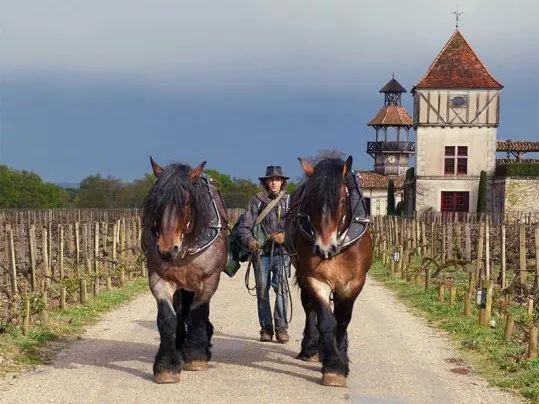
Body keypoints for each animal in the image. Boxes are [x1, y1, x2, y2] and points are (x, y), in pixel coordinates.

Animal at [141, 159, 228, 386]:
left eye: (187, 202)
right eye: (156, 201)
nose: (166, 249)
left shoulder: (209, 279)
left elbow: (198, 312)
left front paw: (196, 355)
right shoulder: (159, 278)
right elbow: (167, 318)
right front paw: (166, 366)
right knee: (180, 311)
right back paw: (180, 345)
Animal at [286, 156, 372, 386]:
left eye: (341, 201)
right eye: (310, 200)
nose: (324, 247)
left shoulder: (354, 282)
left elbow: (342, 320)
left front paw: (341, 356)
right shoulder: (314, 279)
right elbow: (326, 320)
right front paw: (333, 366)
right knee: (309, 309)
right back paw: (311, 348)